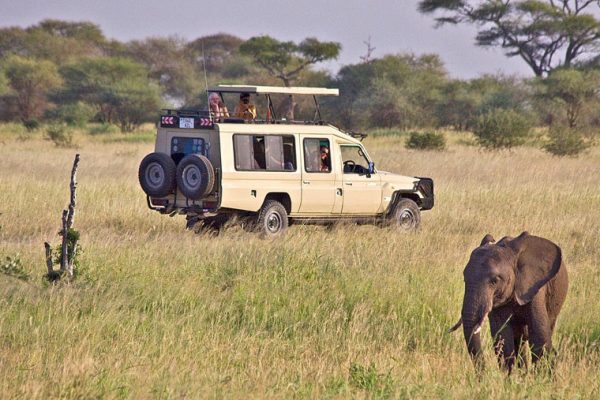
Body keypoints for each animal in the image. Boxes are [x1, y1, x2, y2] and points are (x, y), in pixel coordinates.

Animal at [450, 231, 572, 372]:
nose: (483, 373)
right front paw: (511, 377)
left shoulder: (535, 287)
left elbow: (539, 336)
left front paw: (543, 376)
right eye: (465, 279)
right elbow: (503, 337)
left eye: (494, 281)